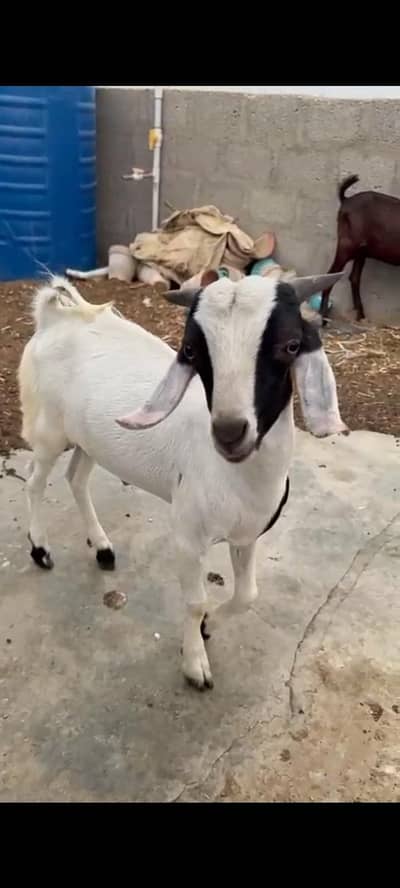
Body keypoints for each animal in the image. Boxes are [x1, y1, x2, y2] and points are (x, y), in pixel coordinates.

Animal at [18, 270, 347, 691]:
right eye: (191, 350)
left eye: (291, 345)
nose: (230, 432)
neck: (239, 477)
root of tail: (55, 319)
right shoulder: (188, 535)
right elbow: (194, 602)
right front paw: (195, 665)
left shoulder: (246, 534)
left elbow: (248, 595)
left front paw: (210, 627)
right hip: (47, 430)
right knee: (34, 482)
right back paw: (41, 549)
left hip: (90, 439)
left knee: (76, 478)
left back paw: (103, 548)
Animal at [320, 174, 400, 321]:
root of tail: (346, 200)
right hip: (347, 244)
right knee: (331, 274)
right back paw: (323, 317)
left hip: (361, 251)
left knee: (354, 278)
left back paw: (360, 314)